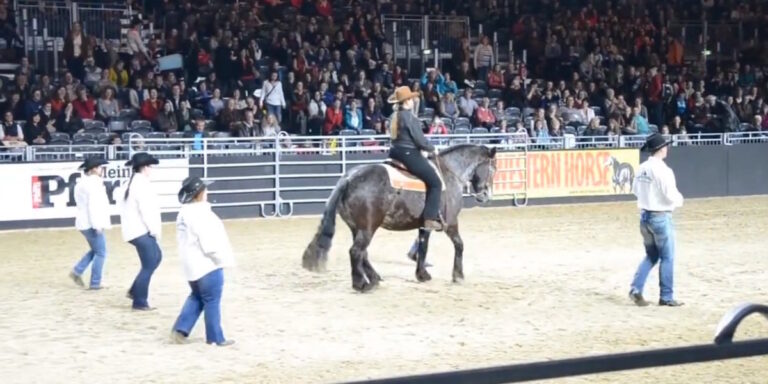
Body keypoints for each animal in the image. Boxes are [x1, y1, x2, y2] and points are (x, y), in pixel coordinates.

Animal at [300, 143, 498, 292]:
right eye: (493, 169)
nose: (485, 195)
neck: (449, 174)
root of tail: (349, 178)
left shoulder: (424, 225)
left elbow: (423, 247)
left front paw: (422, 274)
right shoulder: (450, 223)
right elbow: (459, 244)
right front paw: (458, 276)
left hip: (357, 228)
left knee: (363, 253)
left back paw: (374, 278)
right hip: (368, 227)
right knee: (356, 251)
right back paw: (361, 284)